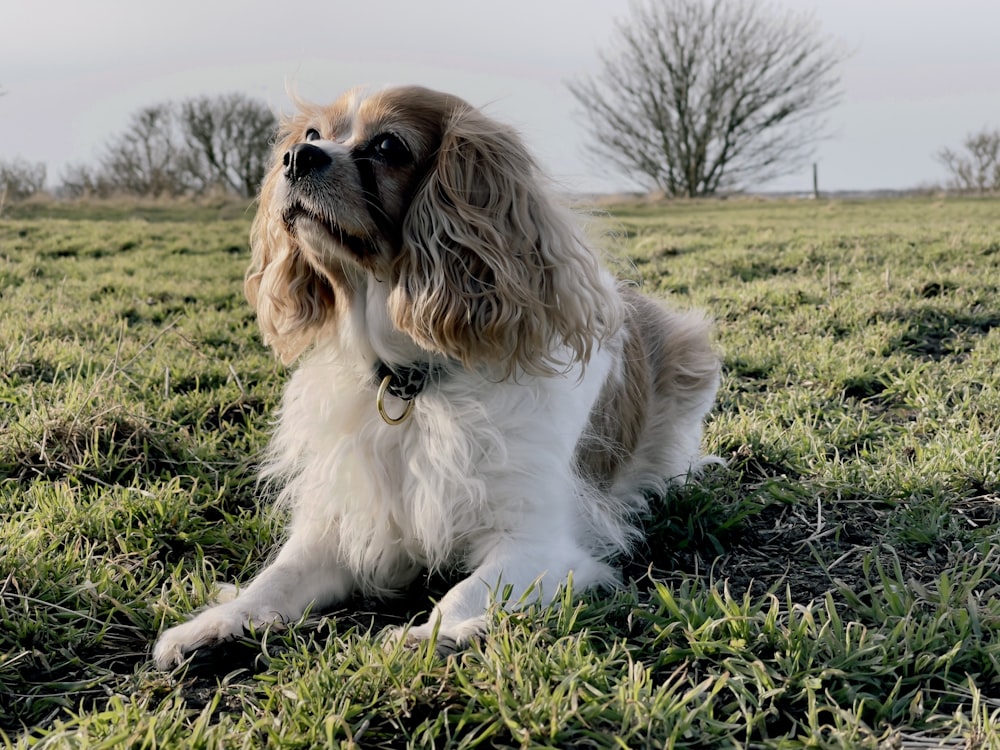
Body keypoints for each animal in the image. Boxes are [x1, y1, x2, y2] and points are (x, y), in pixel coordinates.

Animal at [152, 86, 720, 668]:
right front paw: (217, 623)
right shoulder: (345, 526)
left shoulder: (538, 543)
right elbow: (277, 578)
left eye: (388, 145)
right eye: (312, 135)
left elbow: (466, 590)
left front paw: (429, 635)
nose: (296, 158)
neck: (410, 381)